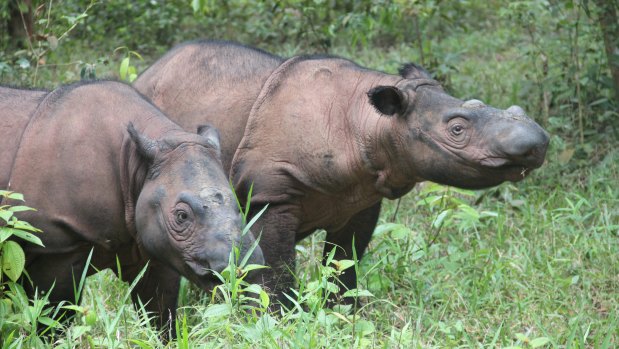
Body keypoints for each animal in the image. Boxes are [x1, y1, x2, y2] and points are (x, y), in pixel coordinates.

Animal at [0, 80, 264, 334]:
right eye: (181, 216)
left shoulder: (156, 242)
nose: (243, 270)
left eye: (240, 206)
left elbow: (161, 314)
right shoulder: (56, 245)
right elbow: (53, 317)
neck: (135, 165)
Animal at [133, 41, 548, 308]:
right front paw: (282, 318)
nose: (538, 143)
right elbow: (278, 268)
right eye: (457, 129)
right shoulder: (271, 193)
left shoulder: (361, 198)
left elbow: (344, 264)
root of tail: (145, 73)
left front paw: (342, 313)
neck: (369, 122)